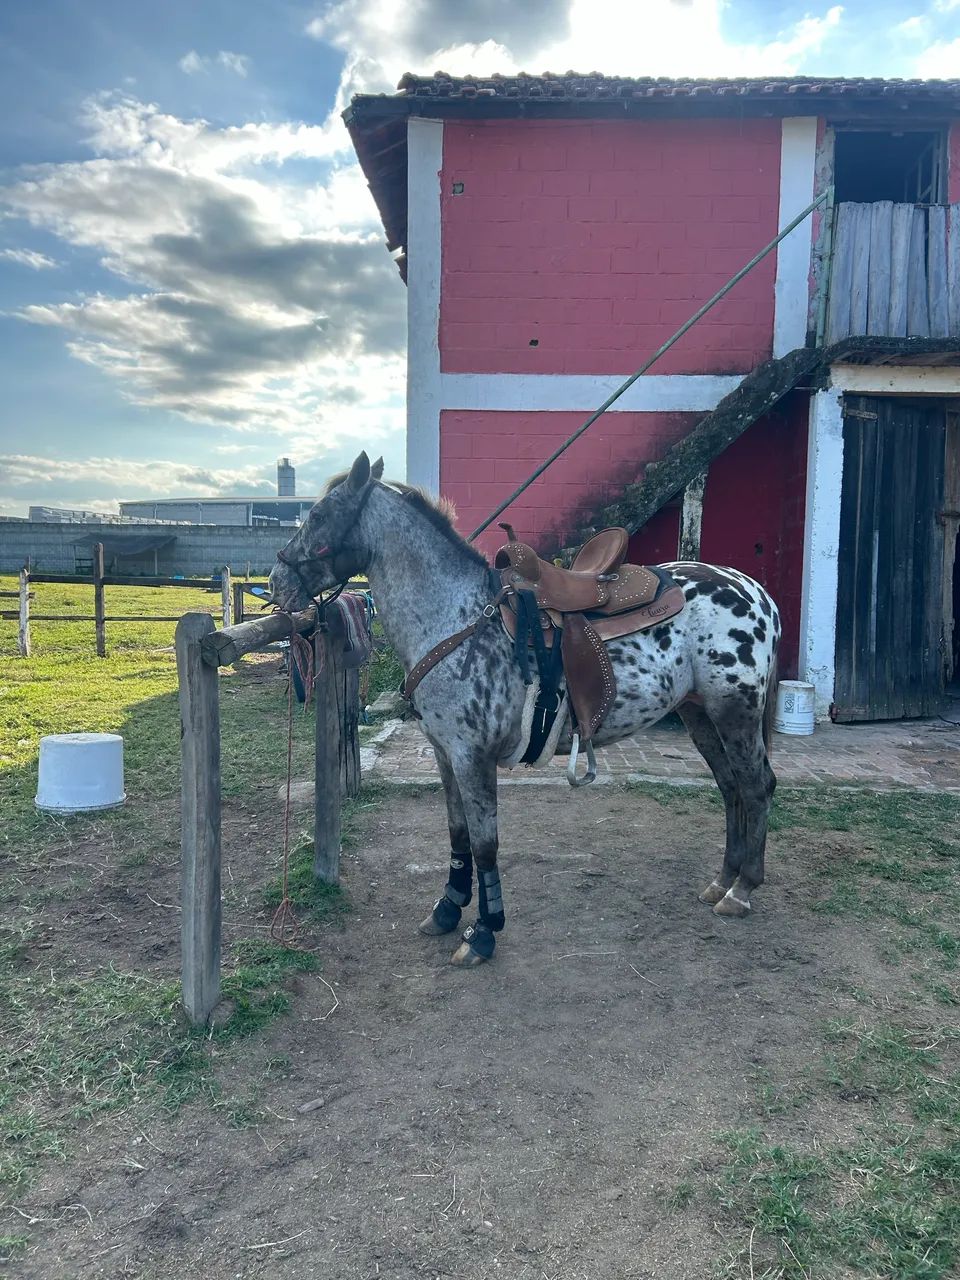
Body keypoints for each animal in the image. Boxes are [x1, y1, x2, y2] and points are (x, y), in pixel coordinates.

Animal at [269, 452, 780, 968]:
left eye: (318, 515)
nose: (276, 582)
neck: (455, 618)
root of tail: (756, 593)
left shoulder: (472, 756)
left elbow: (484, 844)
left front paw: (483, 931)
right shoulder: (445, 753)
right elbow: (457, 833)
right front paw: (448, 909)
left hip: (735, 712)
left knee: (755, 786)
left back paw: (741, 890)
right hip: (700, 715)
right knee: (730, 787)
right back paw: (721, 881)